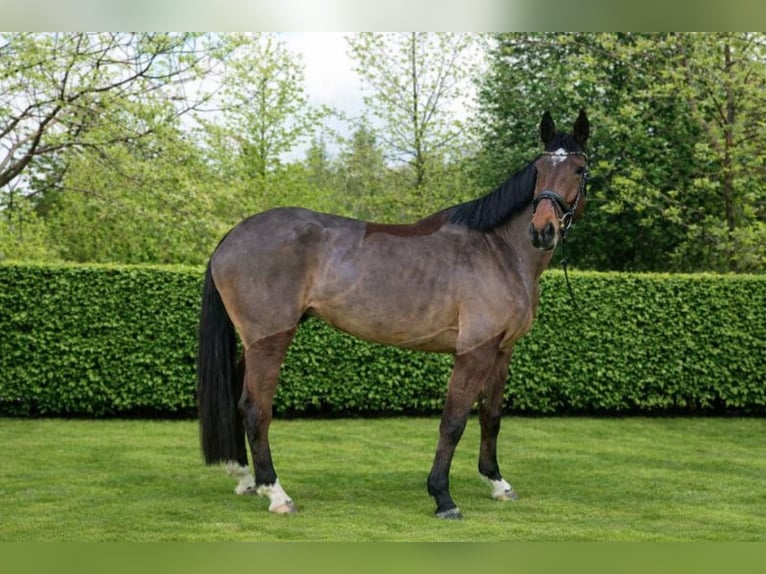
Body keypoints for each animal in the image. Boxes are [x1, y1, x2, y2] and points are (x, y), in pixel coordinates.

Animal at [197, 110, 590, 519]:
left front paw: (497, 483)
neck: (498, 249)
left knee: (237, 402)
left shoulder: (502, 350)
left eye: (578, 169)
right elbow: (453, 422)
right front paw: (443, 497)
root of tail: (231, 237)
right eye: (539, 169)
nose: (542, 230)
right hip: (270, 340)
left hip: (254, 342)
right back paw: (275, 493)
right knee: (255, 408)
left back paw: (246, 479)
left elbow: (490, 416)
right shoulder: (474, 351)